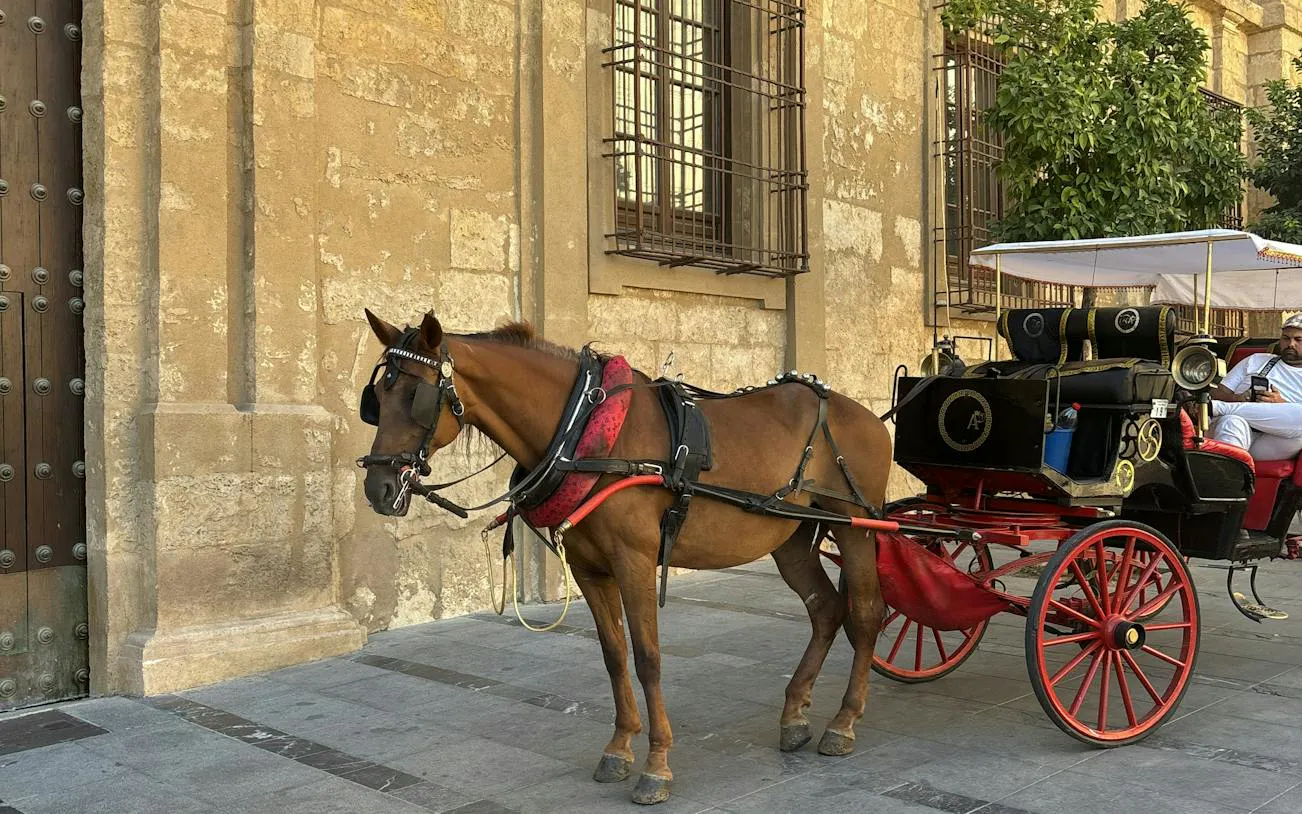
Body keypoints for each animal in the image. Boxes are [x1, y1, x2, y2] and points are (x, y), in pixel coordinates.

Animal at [358, 309, 893, 806]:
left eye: (417, 396)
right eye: (377, 399)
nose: (378, 487)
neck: (584, 434)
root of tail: (863, 414)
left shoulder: (634, 560)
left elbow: (648, 657)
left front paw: (657, 766)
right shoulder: (590, 568)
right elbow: (614, 655)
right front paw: (619, 748)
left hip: (857, 527)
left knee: (867, 613)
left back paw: (844, 721)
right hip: (791, 536)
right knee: (826, 608)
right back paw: (795, 714)